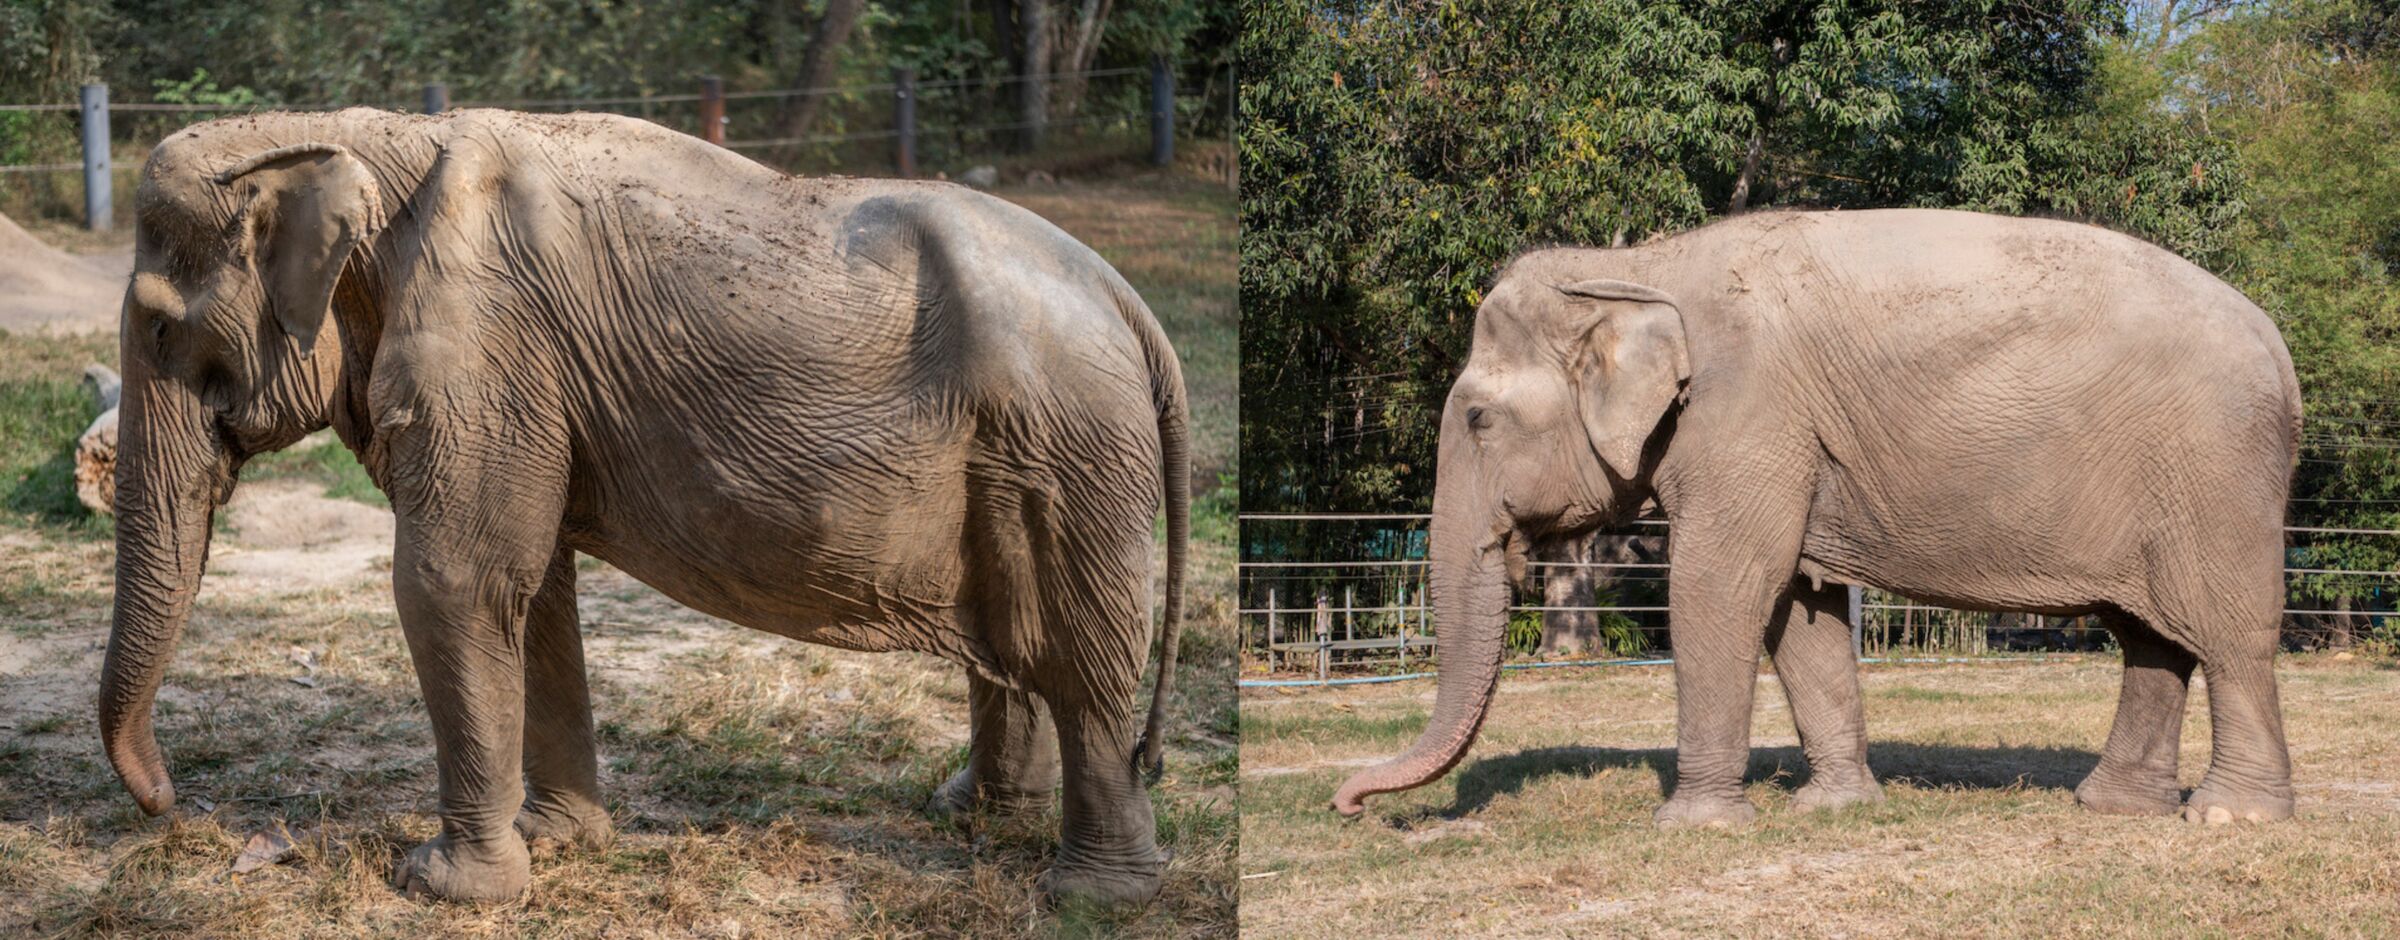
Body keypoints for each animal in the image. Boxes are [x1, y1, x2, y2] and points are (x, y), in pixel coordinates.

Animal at [100, 106, 1190, 906]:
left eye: (159, 331)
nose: (174, 806)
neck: (358, 136)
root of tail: (1133, 304)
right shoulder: (529, 382)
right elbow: (532, 591)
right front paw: (556, 841)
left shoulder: (487, 344)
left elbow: (454, 581)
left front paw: (445, 887)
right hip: (1029, 455)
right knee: (1019, 638)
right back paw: (971, 815)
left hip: (1072, 450)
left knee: (1083, 660)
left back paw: (1092, 895)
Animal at [1344, 207, 2294, 829]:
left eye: (1477, 419)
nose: (1348, 802)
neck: (1645, 267)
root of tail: (2280, 350)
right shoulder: (1788, 440)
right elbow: (1798, 606)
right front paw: (1832, 807)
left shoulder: (1748, 414)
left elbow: (1724, 585)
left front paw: (1695, 826)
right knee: (2151, 636)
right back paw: (2115, 806)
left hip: (2215, 472)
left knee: (2226, 629)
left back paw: (2229, 819)